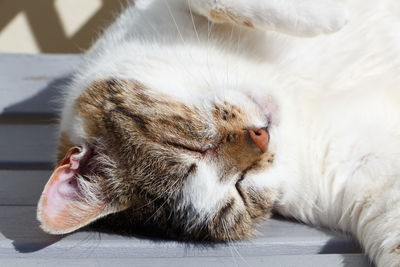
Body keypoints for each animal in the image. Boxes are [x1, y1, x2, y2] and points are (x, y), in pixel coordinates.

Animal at [36, 0, 398, 266]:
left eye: (187, 145)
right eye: (240, 187)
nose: (261, 138)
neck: (292, 92)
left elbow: (207, 2)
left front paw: (329, 15)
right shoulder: (365, 175)